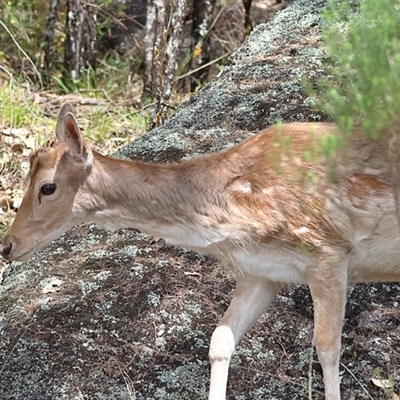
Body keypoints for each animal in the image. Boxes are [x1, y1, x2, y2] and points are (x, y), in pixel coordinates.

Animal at [0, 101, 400, 398]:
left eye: (47, 187)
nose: (7, 245)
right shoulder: (260, 274)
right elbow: (219, 342)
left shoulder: (328, 251)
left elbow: (327, 348)